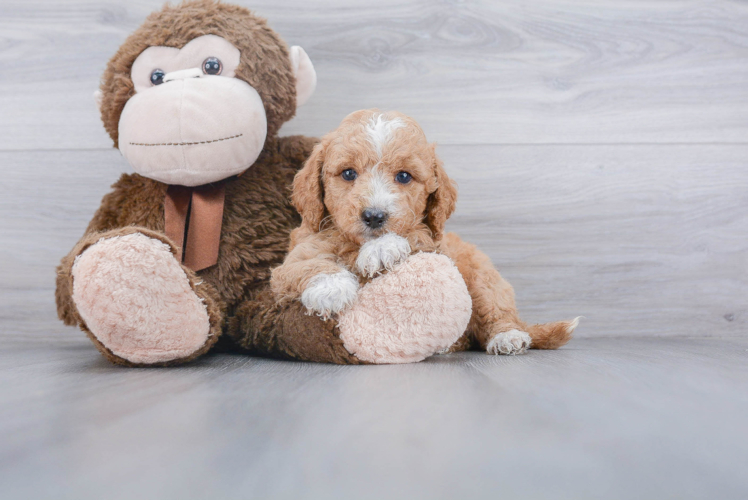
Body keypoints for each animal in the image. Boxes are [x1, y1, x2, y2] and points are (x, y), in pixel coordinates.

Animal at [274, 108, 580, 356]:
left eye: (404, 176)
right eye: (348, 173)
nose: (374, 216)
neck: (355, 244)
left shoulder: (434, 244)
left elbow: (415, 234)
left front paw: (382, 249)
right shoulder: (293, 257)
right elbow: (303, 264)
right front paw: (331, 288)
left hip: (484, 279)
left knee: (495, 313)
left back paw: (507, 337)